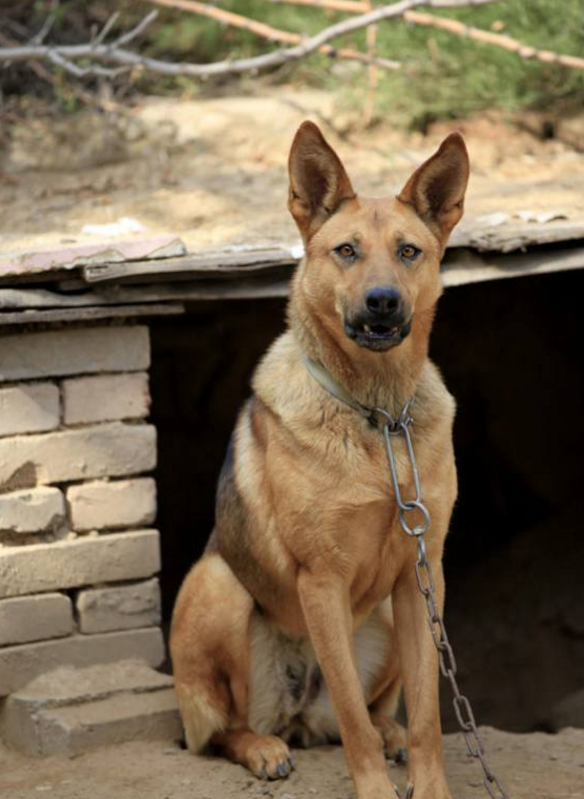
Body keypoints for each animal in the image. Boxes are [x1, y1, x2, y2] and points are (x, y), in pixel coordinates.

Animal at [170, 120, 470, 799]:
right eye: (347, 251)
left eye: (409, 252)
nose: (383, 302)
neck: (379, 417)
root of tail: (297, 712)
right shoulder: (322, 580)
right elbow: (354, 723)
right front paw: (376, 791)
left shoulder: (423, 576)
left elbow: (427, 715)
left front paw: (427, 783)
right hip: (219, 584)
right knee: (225, 727)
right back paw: (261, 748)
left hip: (384, 614)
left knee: (372, 713)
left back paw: (386, 735)